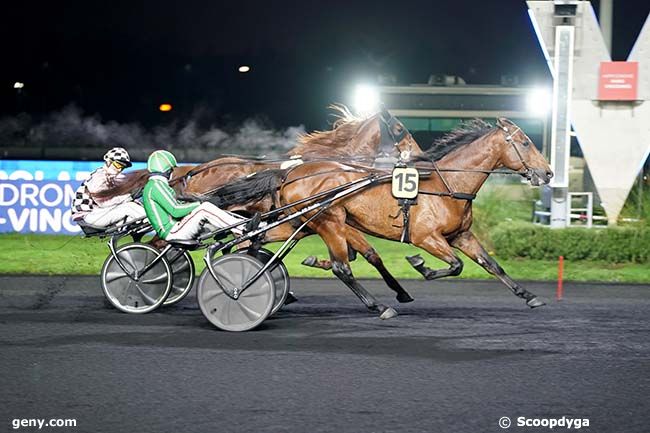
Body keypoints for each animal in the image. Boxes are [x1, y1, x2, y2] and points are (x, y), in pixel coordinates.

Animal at [243, 117, 552, 318]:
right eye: (525, 143)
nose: (548, 172)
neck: (446, 186)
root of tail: (289, 174)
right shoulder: (426, 237)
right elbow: (456, 265)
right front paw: (421, 266)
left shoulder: (461, 235)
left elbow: (491, 265)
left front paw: (529, 296)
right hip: (328, 222)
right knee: (341, 267)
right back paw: (379, 306)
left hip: (302, 223)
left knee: (256, 237)